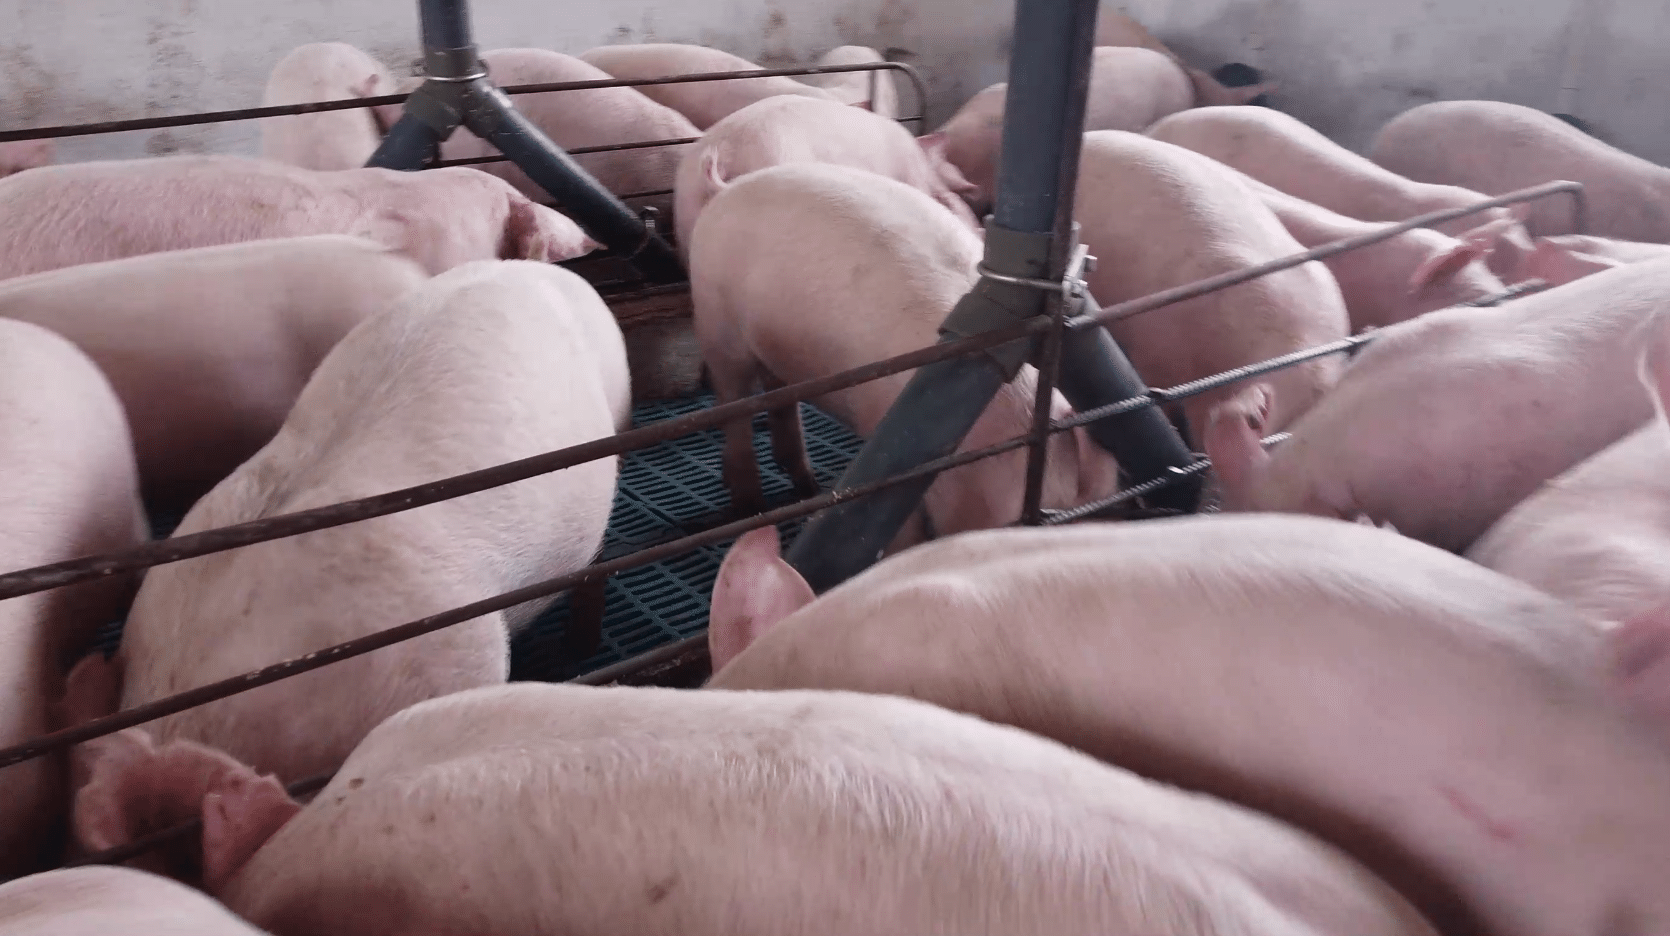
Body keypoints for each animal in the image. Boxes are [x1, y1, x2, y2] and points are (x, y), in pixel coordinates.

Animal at [690, 162, 1118, 546]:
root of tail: (724, 189)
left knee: (780, 397)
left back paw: (806, 485)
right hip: (716, 323)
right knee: (735, 406)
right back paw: (750, 508)